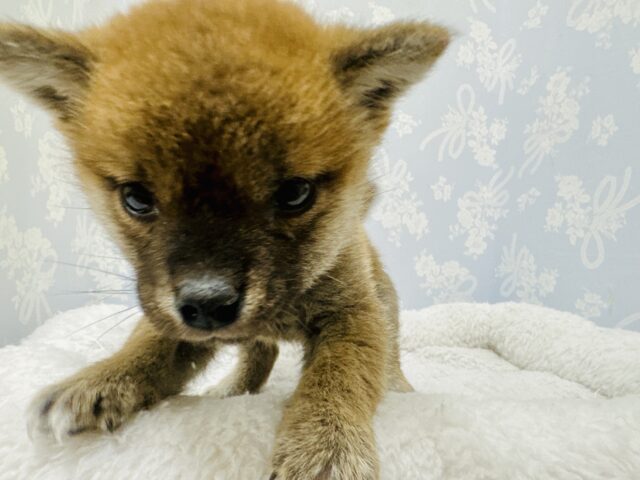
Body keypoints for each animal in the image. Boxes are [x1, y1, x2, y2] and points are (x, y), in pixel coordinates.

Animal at [1, 1, 450, 478]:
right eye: (136, 198)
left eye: (295, 193)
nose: (208, 304)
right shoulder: (171, 317)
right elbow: (149, 344)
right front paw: (100, 379)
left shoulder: (352, 315)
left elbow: (340, 377)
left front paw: (326, 445)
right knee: (260, 353)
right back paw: (233, 389)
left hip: (385, 306)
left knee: (385, 355)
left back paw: (398, 386)